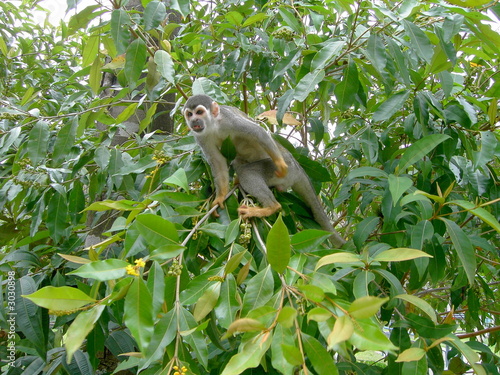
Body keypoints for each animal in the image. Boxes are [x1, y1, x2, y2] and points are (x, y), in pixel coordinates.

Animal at [182, 94, 346, 247]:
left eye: (199, 112)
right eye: (189, 114)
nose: (194, 121)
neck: (213, 126)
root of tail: (297, 167)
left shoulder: (229, 120)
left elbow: (258, 132)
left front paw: (280, 164)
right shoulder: (201, 137)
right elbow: (217, 162)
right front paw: (220, 197)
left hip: (283, 171)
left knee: (248, 172)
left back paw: (271, 207)